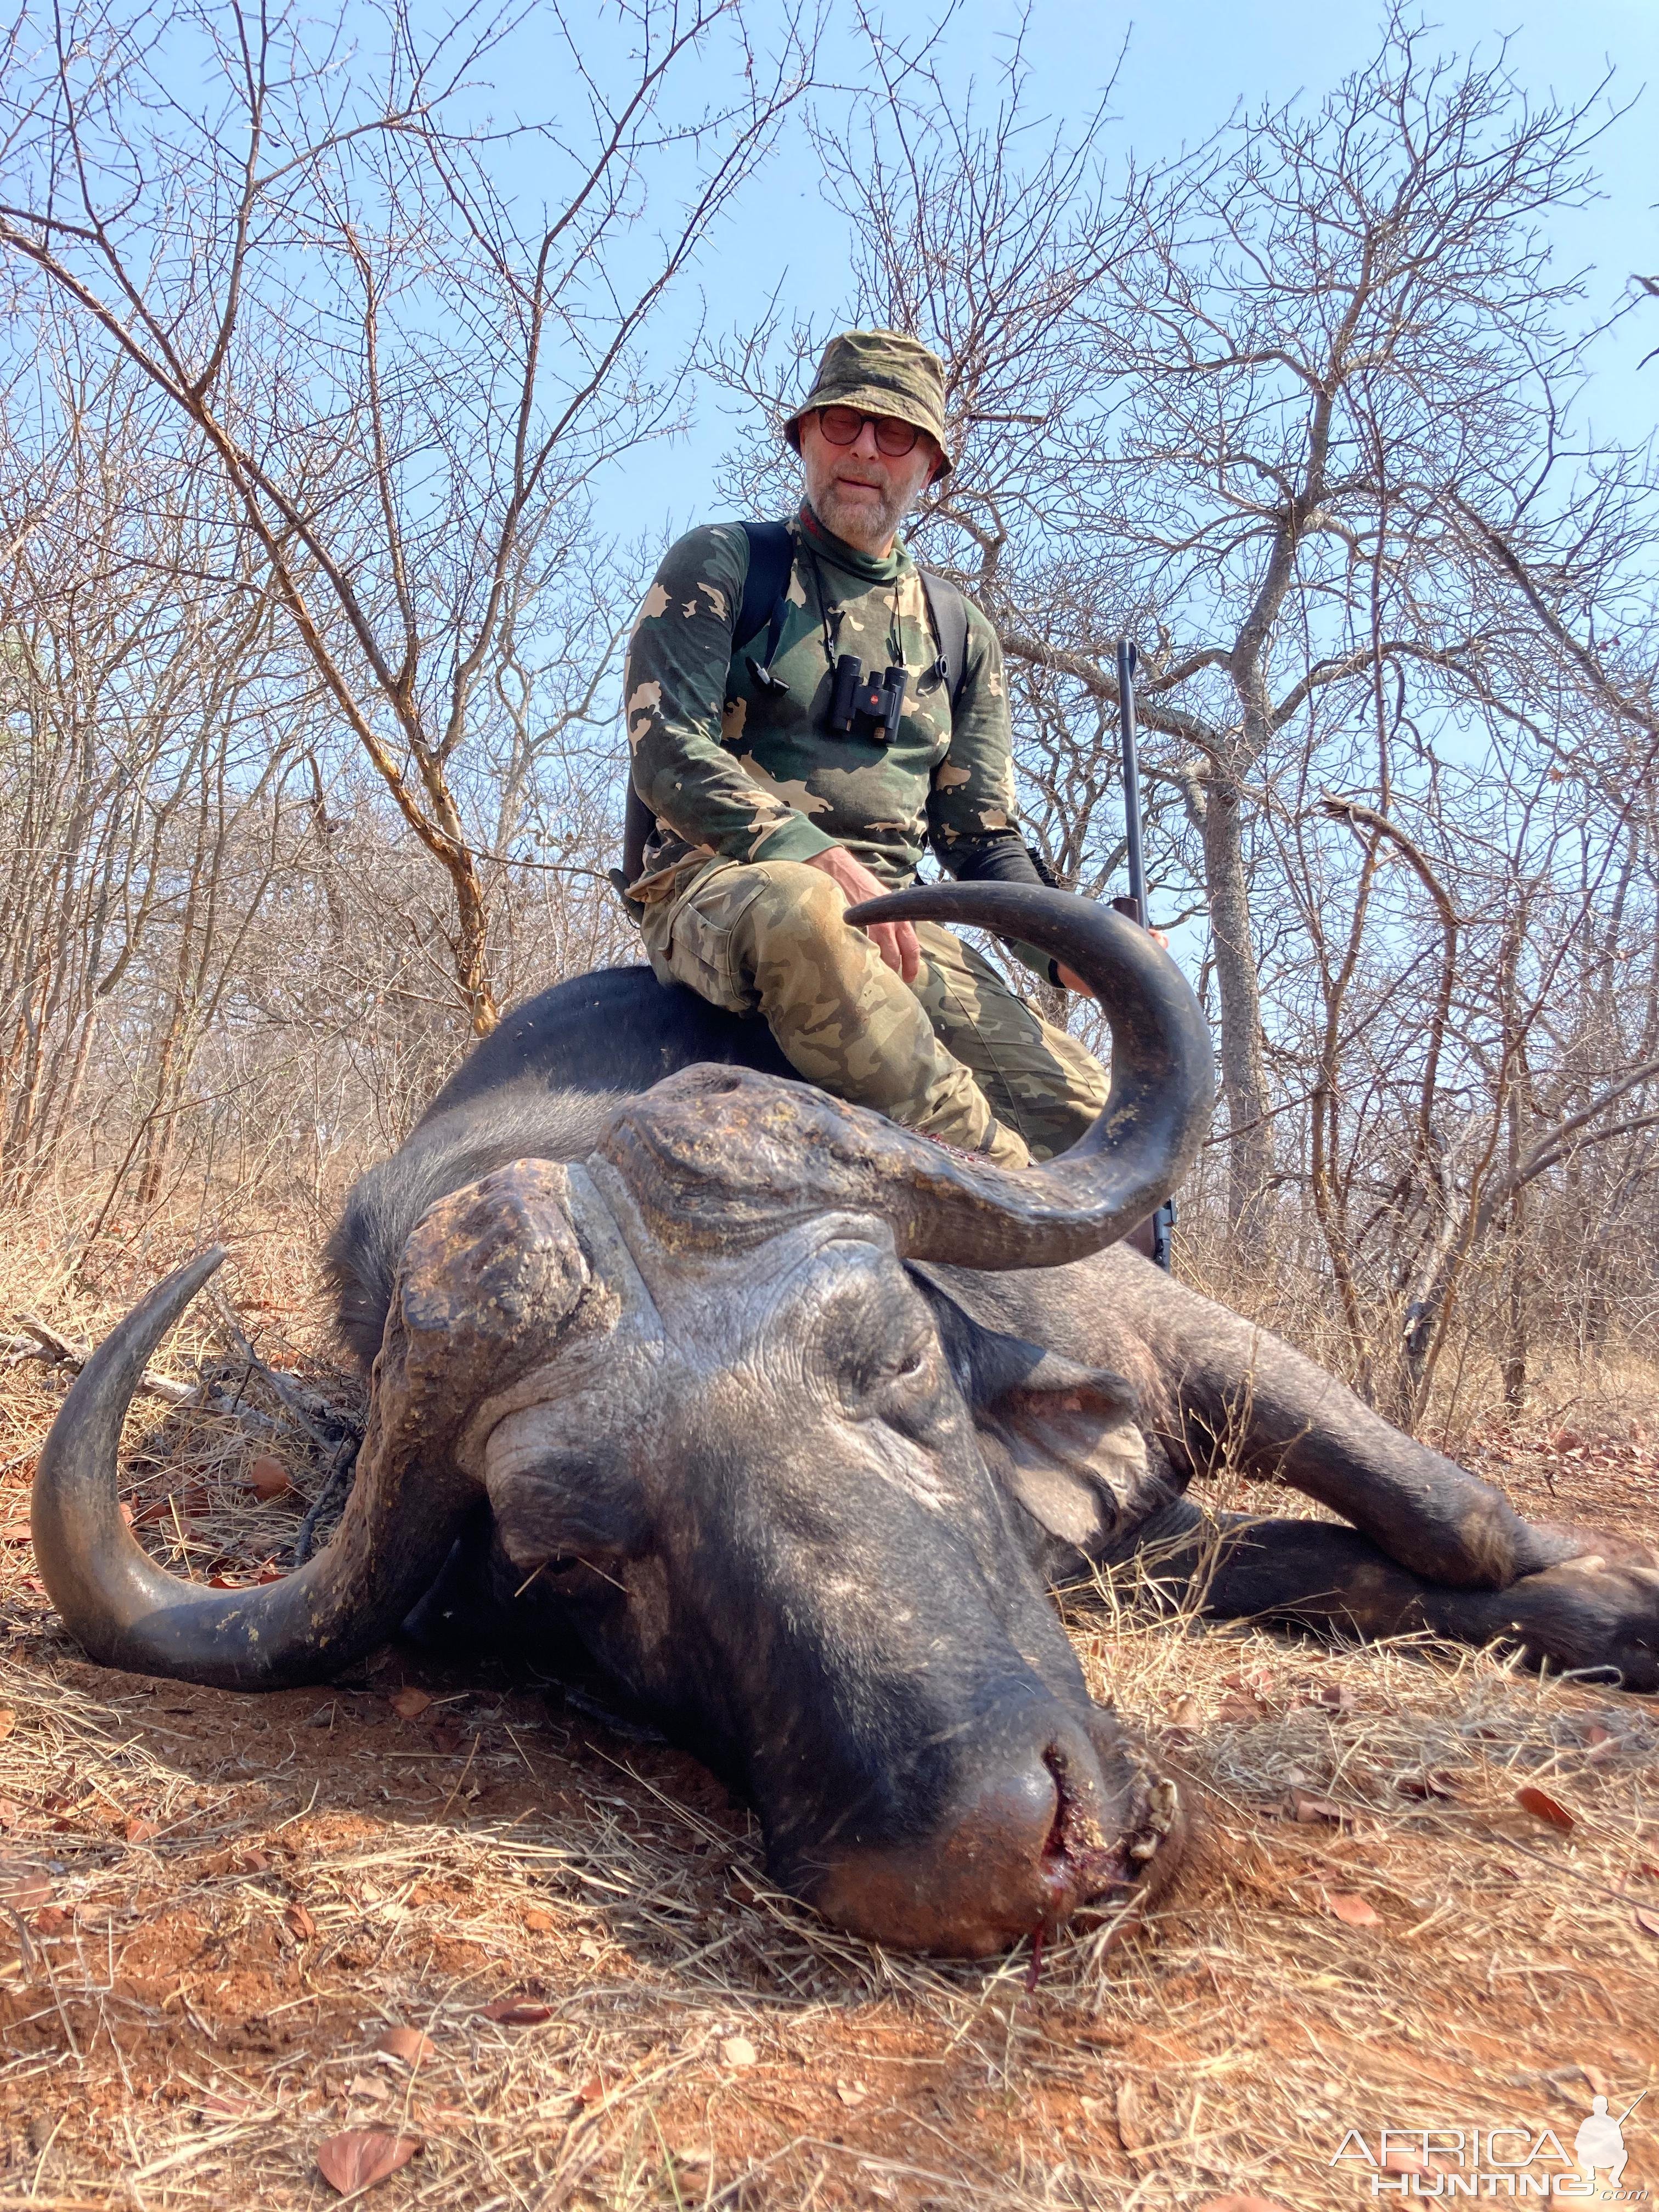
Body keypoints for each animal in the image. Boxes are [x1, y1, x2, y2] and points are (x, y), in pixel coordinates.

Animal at [26, 880, 1659, 1955]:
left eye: (896, 1362)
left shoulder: (1173, 1337)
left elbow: (1443, 1512)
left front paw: (1614, 1602)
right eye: (572, 1563)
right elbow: (1328, 1563)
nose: (1007, 1856)